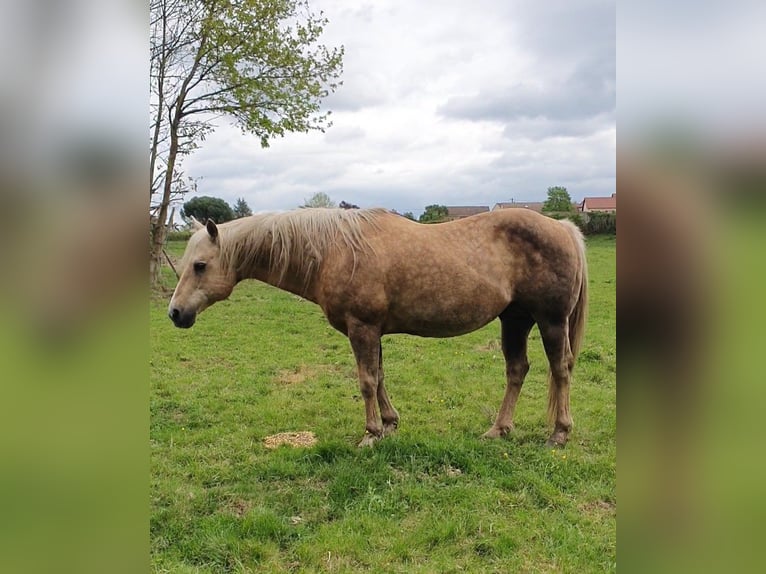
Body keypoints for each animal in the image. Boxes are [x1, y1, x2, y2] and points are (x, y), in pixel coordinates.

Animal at [168, 207, 588, 447]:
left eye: (200, 265)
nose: (175, 313)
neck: (334, 251)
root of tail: (564, 227)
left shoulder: (362, 328)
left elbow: (366, 381)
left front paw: (370, 435)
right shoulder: (373, 332)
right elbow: (381, 376)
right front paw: (389, 425)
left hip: (550, 321)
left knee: (560, 370)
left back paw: (559, 433)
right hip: (515, 319)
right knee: (517, 370)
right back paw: (498, 430)